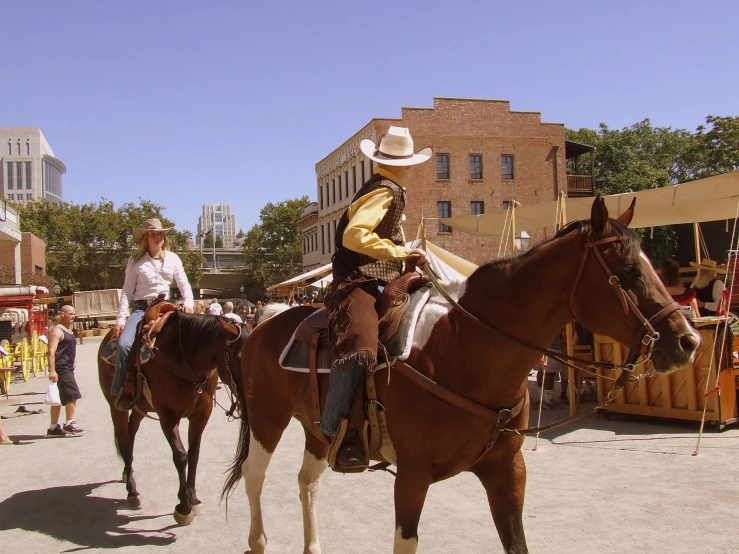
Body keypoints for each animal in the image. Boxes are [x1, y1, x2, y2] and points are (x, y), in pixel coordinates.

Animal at [98, 310, 246, 520]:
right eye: (237, 358)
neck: (188, 363)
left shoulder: (202, 414)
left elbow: (194, 454)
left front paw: (193, 498)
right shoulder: (167, 415)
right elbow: (180, 456)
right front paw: (183, 506)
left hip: (140, 407)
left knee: (131, 432)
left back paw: (128, 472)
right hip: (116, 406)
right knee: (124, 438)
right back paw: (132, 491)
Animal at [223, 196, 704, 548]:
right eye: (627, 271)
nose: (688, 342)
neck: (466, 351)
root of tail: (263, 323)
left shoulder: (508, 473)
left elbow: (517, 542)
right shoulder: (412, 477)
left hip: (319, 432)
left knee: (306, 483)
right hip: (267, 420)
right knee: (253, 476)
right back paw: (257, 541)